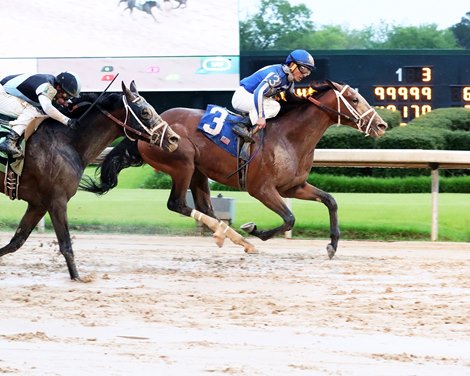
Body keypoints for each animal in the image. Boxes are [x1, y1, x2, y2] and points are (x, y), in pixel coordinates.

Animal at [0, 83, 180, 282]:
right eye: (145, 112)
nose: (173, 139)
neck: (67, 142)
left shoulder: (38, 204)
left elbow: (17, 241)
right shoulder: (57, 200)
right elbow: (66, 244)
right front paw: (78, 278)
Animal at [82, 80, 388, 258]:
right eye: (354, 99)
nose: (381, 124)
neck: (289, 137)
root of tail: (148, 130)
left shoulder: (294, 186)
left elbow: (330, 200)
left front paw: (333, 244)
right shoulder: (261, 189)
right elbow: (289, 218)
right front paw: (255, 230)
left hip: (198, 172)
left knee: (205, 207)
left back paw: (231, 237)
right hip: (182, 163)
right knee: (177, 204)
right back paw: (238, 237)